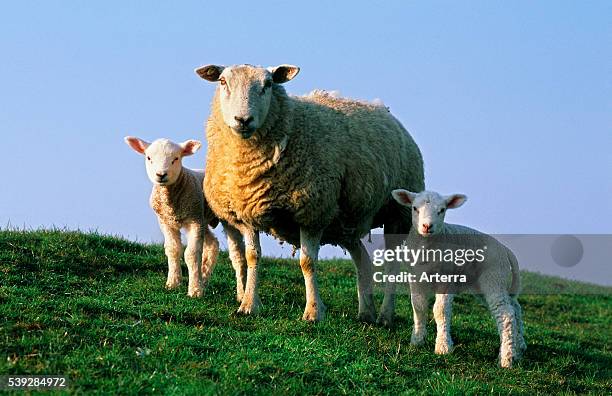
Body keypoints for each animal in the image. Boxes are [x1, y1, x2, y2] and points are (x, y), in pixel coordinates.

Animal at [123, 136, 220, 296]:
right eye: (149, 158)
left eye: (176, 158)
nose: (161, 174)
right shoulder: (166, 221)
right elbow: (173, 250)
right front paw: (173, 283)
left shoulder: (194, 221)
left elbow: (192, 254)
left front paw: (195, 290)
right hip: (203, 218)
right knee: (213, 244)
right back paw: (204, 278)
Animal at [194, 62, 424, 322]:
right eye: (223, 82)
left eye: (268, 84)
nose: (243, 119)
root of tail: (384, 110)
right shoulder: (247, 211)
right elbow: (253, 256)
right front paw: (249, 304)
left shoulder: (312, 212)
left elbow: (307, 262)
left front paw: (313, 311)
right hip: (346, 223)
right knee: (362, 260)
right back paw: (366, 312)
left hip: (397, 214)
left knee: (392, 265)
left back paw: (385, 315)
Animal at [392, 189, 524, 368]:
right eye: (414, 208)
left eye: (442, 210)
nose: (427, 226)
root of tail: (504, 249)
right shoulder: (416, 277)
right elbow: (418, 306)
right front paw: (417, 341)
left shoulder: (446, 279)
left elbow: (440, 310)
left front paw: (443, 347)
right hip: (484, 285)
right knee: (515, 307)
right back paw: (519, 348)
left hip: (493, 277)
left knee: (506, 314)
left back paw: (506, 359)